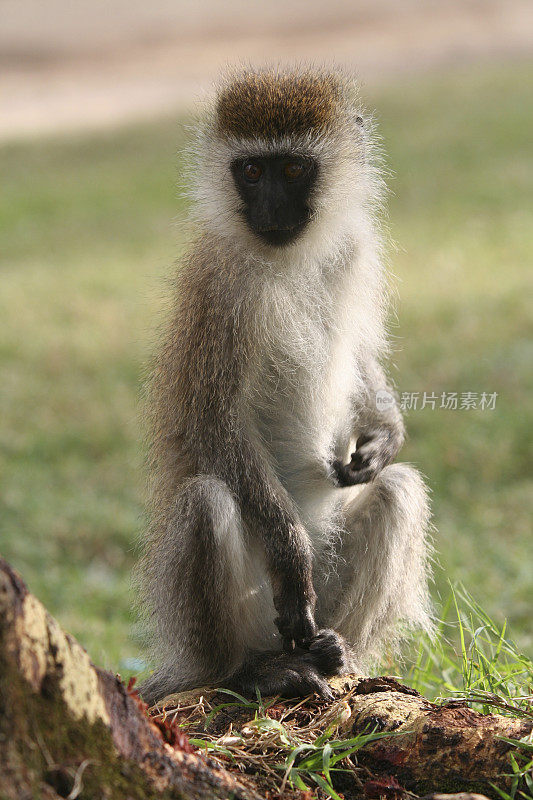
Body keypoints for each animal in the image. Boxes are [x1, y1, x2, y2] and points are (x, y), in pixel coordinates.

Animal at [137, 69, 432, 708]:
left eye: (293, 169)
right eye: (251, 171)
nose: (270, 207)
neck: (289, 256)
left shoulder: (354, 247)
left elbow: (361, 353)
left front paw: (385, 437)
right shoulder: (220, 289)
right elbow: (213, 421)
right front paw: (292, 557)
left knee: (400, 492)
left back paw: (340, 656)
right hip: (250, 619)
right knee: (207, 501)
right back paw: (247, 671)